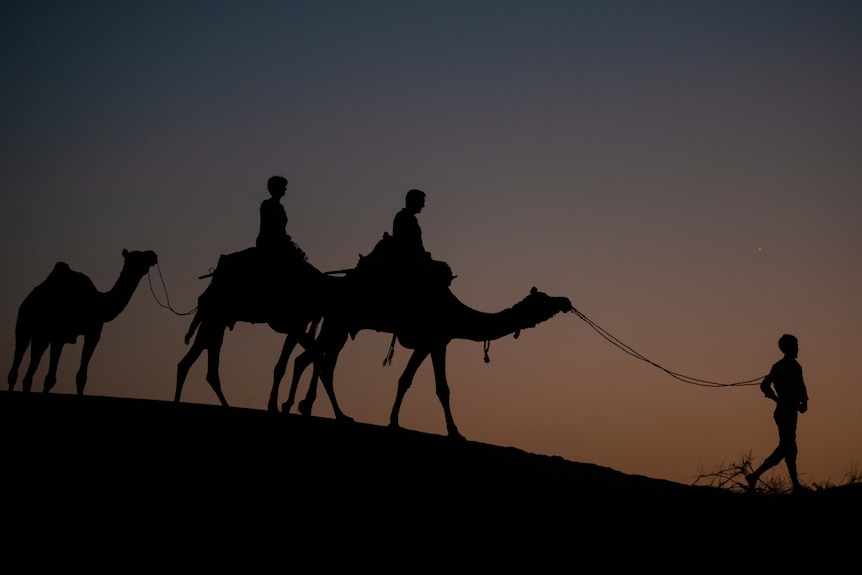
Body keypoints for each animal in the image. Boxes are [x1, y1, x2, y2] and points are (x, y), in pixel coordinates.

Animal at [8, 248, 159, 396]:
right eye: (138, 256)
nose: (152, 254)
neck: (98, 304)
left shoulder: (93, 334)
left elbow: (81, 377)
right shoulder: (59, 336)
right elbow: (50, 378)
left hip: (42, 335)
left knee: (30, 371)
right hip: (24, 324)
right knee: (16, 364)